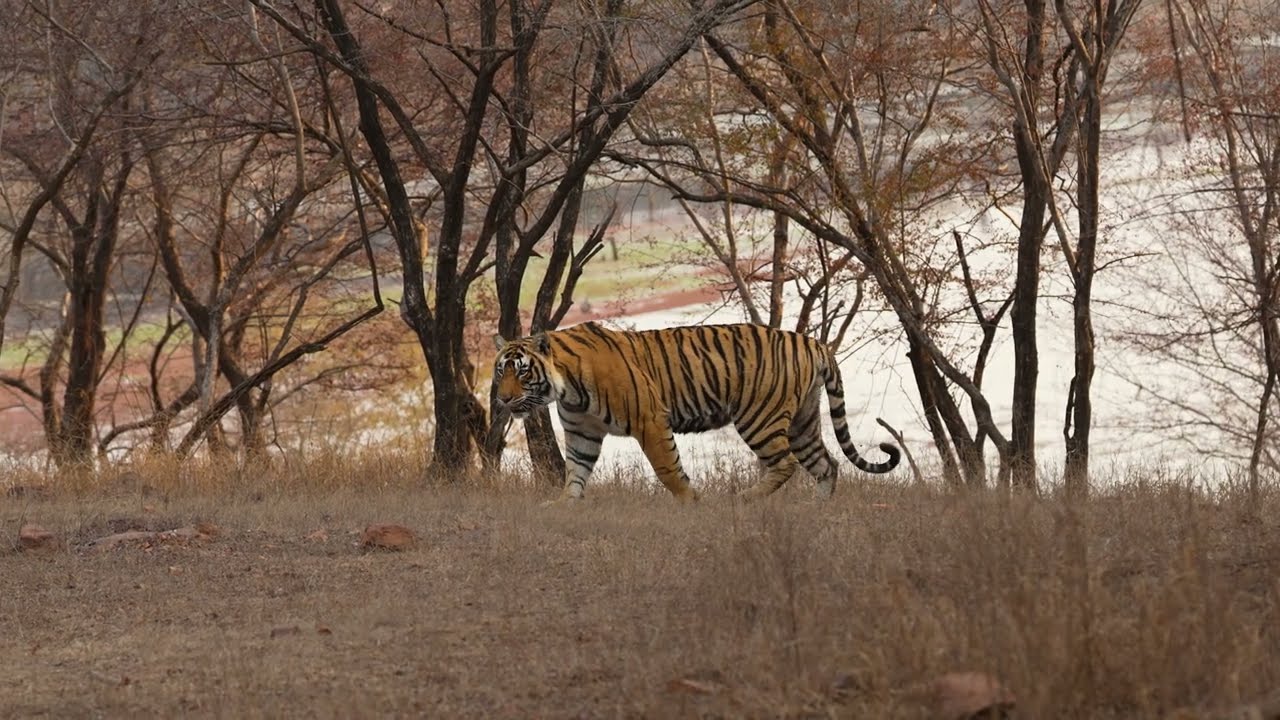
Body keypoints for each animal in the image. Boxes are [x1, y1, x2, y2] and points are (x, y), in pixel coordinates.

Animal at [491, 321, 900, 503]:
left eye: (522, 372)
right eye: (500, 371)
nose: (504, 400)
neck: (566, 389)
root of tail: (813, 342)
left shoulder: (650, 419)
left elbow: (667, 468)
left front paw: (691, 501)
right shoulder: (582, 431)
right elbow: (575, 470)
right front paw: (564, 504)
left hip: (759, 417)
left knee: (786, 464)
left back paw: (744, 499)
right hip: (803, 421)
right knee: (826, 465)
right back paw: (819, 509)